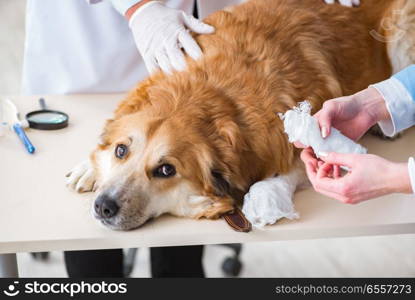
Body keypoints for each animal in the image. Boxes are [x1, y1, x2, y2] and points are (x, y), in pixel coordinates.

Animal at [66, 0, 415, 230]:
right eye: (121, 151)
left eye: (166, 170)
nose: (104, 206)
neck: (207, 94)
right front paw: (89, 166)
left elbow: (291, 168)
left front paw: (266, 195)